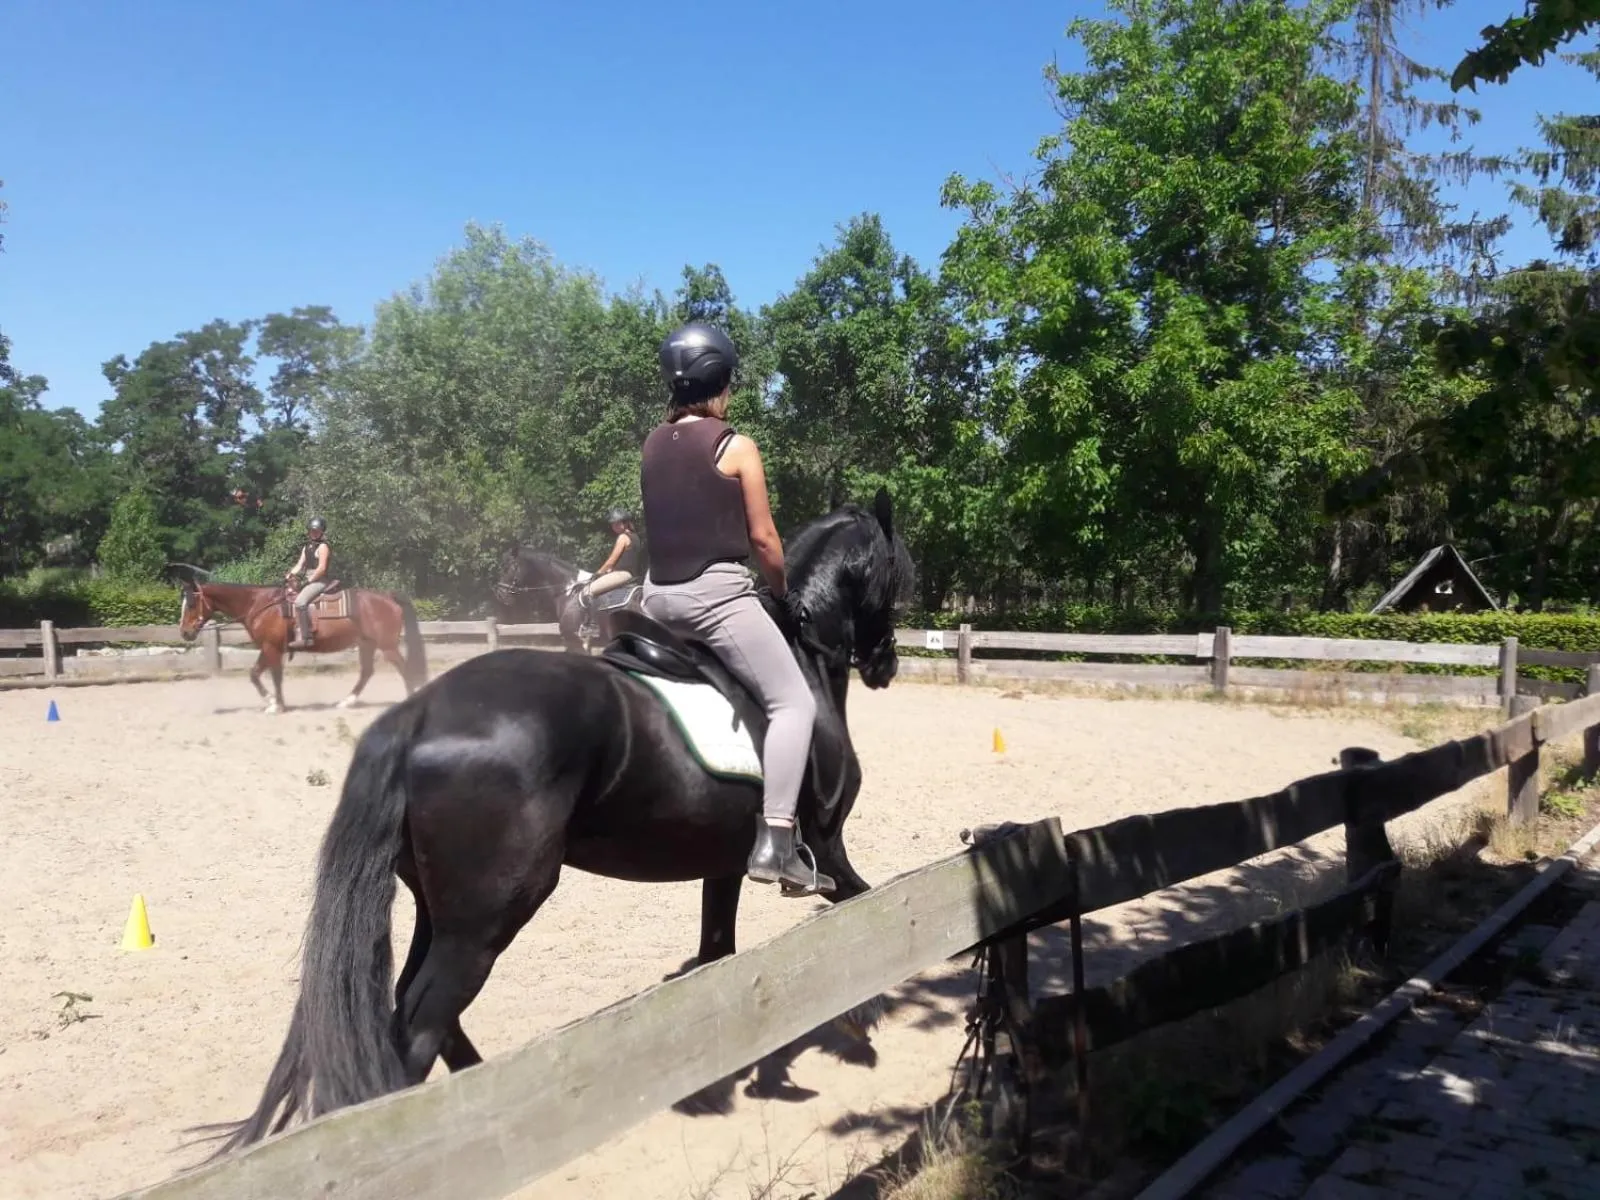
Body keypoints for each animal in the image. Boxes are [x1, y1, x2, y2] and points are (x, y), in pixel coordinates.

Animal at [177, 578, 429, 714]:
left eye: (191, 604)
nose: (185, 632)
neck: (260, 605)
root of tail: (387, 596)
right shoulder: (269, 649)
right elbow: (260, 675)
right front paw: (274, 702)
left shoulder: (271, 648)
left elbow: (270, 676)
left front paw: (275, 705)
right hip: (367, 644)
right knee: (367, 672)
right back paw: (346, 701)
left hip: (387, 646)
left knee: (404, 669)